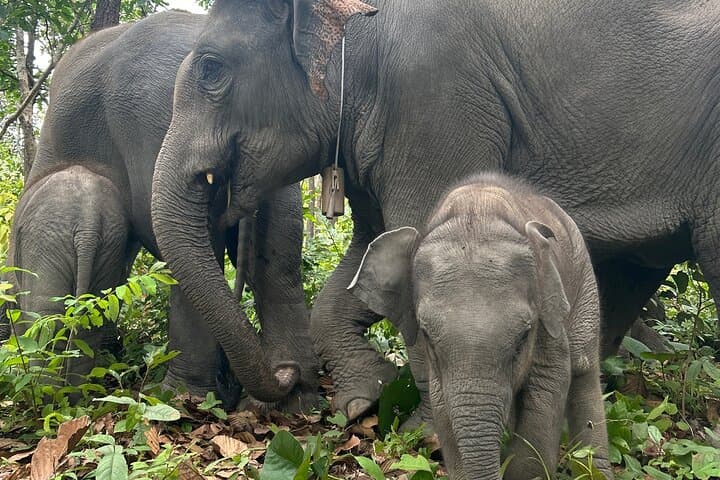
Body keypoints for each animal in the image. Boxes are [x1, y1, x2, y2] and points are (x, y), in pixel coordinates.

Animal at [151, 0, 720, 423]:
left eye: (211, 68)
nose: (288, 378)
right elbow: (369, 254)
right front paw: (366, 400)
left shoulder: (432, 102)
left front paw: (422, 431)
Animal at [349, 174, 611, 479]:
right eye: (427, 336)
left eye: (524, 337)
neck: (477, 205)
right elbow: (442, 403)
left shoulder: (548, 317)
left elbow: (548, 385)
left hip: (584, 278)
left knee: (583, 366)